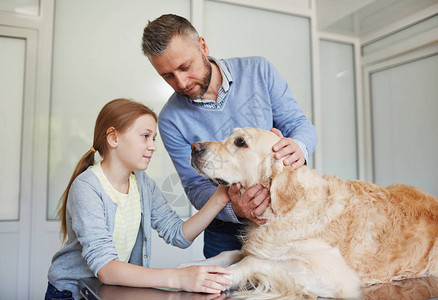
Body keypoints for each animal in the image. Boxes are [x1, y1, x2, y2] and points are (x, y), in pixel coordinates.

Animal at [188, 127, 438, 298]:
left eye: (240, 142)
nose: (193, 147)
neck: (285, 210)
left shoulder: (336, 276)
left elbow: (253, 261)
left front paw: (221, 276)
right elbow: (228, 253)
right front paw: (191, 268)